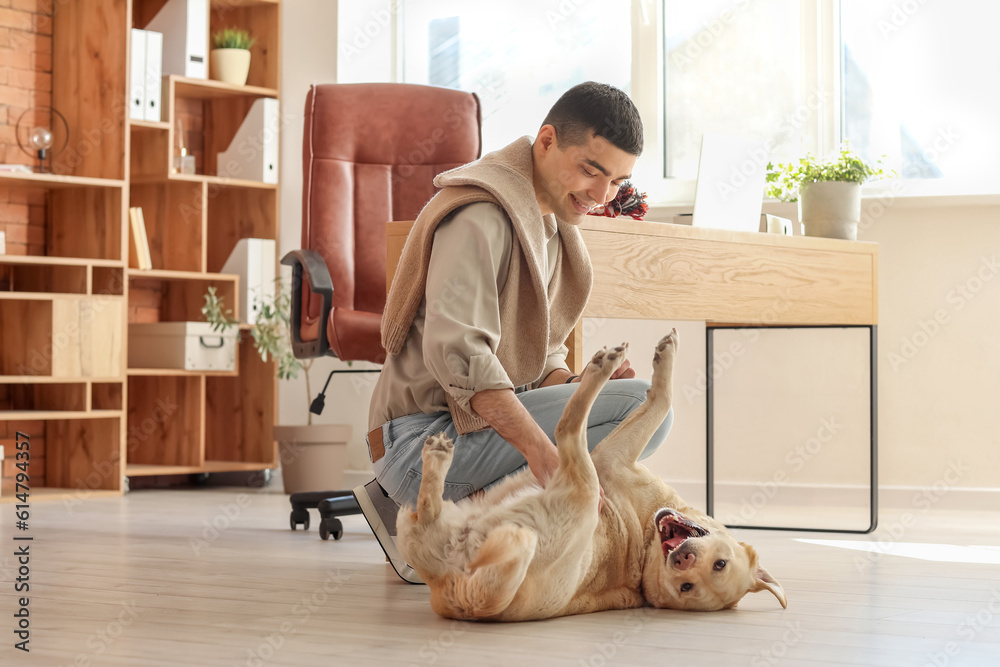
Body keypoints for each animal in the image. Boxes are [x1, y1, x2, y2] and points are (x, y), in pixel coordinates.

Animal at [394, 332, 784, 624]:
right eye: (720, 563)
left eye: (687, 587)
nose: (683, 560)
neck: (645, 540)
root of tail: (465, 596)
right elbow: (660, 399)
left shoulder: (611, 459)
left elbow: (662, 398)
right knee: (425, 511)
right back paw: (437, 459)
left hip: (583, 486)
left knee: (568, 428)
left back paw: (602, 367)